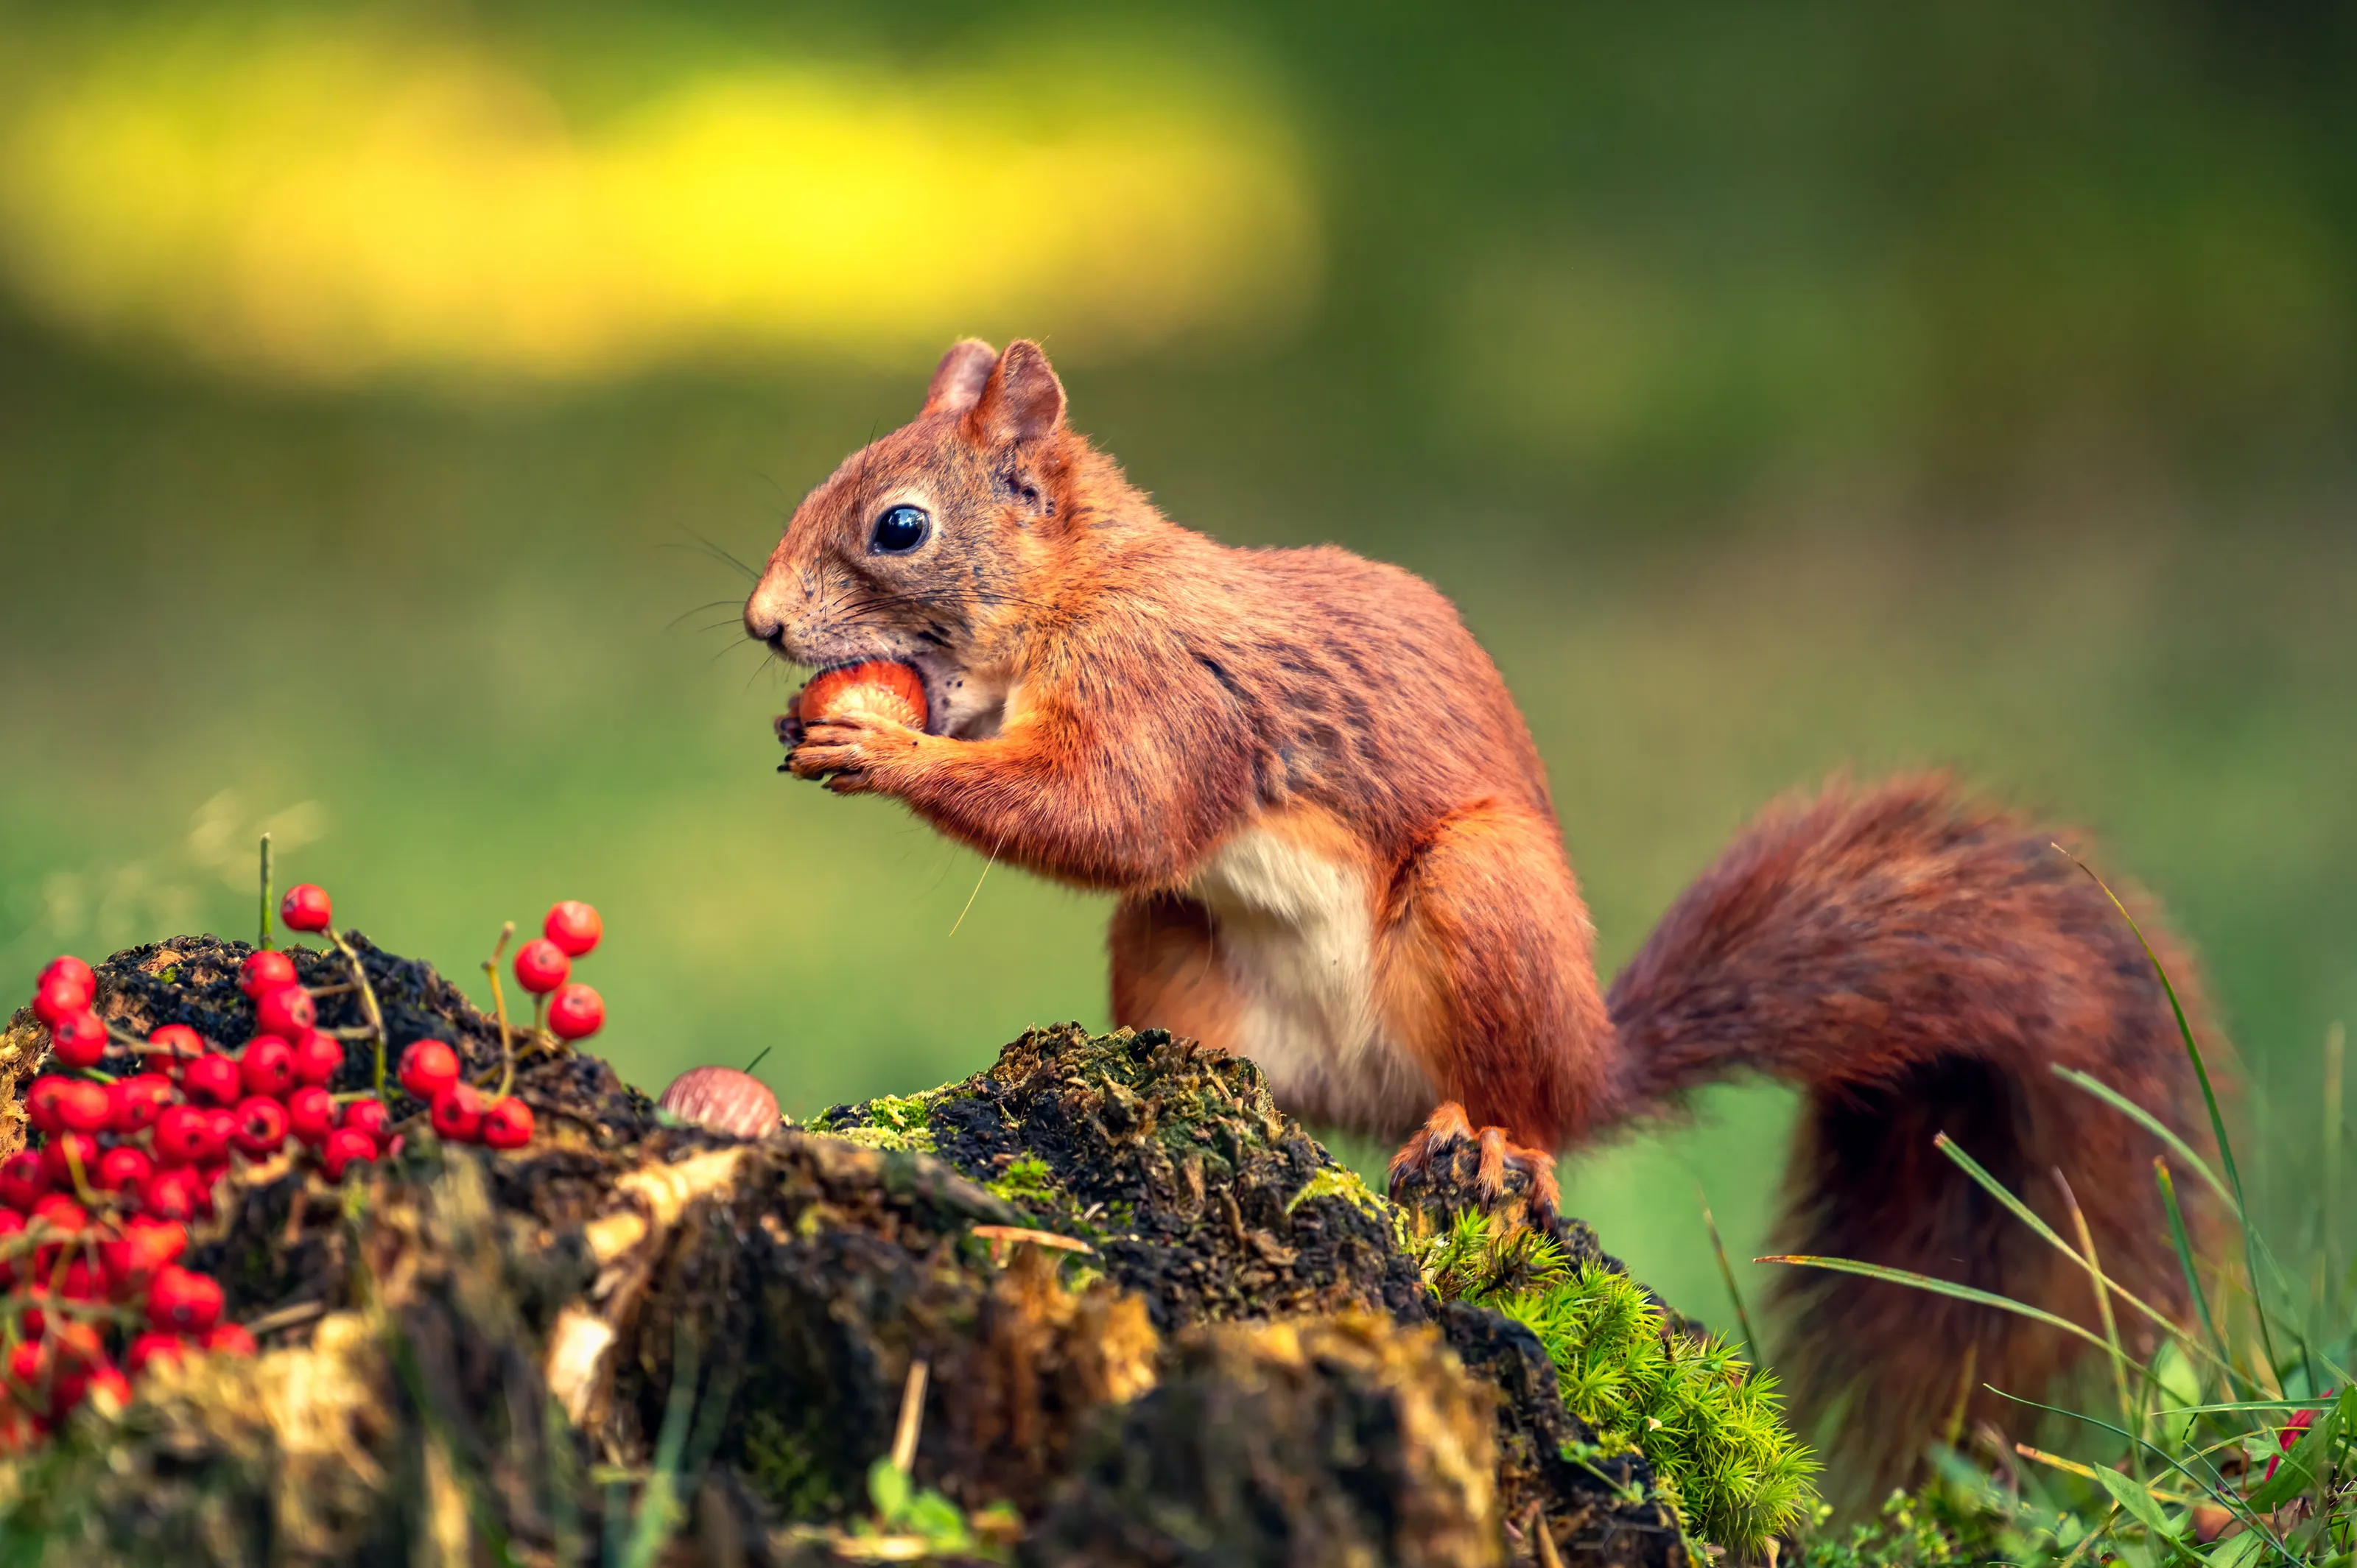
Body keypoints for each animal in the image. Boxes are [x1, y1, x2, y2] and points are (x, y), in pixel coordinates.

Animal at [743, 337, 2218, 1479]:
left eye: (899, 526)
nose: (762, 624)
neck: (1083, 589)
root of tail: (1587, 1059)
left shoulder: (1167, 689)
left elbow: (1114, 813)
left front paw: (886, 747)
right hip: (1174, 945)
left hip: (1482, 903)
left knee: (1520, 1103)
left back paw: (1495, 1144)